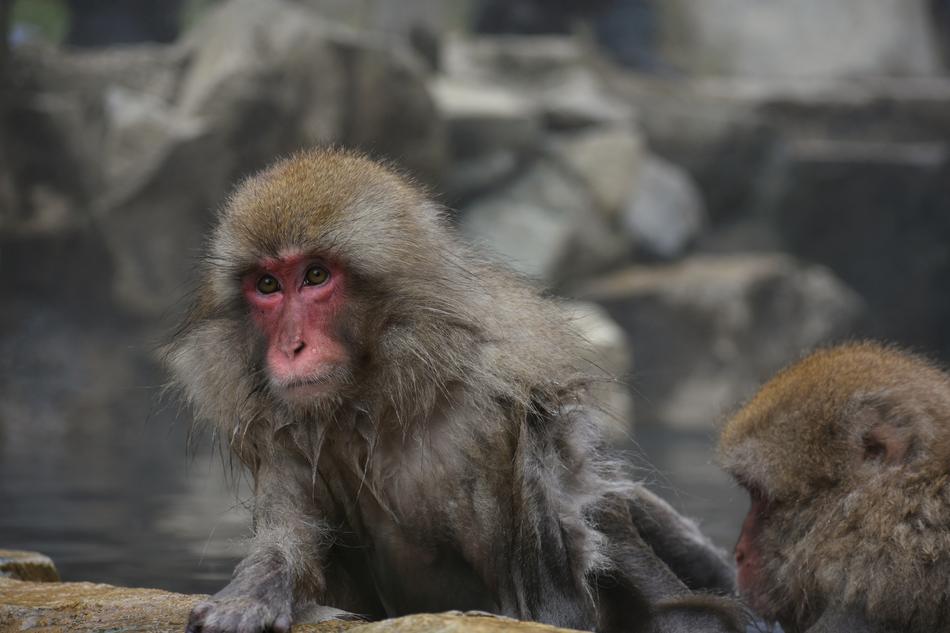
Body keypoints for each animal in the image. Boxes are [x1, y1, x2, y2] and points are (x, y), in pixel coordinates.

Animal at [165, 148, 744, 632]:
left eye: (315, 276)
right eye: (267, 285)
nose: (292, 347)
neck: (381, 398)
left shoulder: (495, 420)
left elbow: (547, 601)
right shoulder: (285, 427)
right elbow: (290, 539)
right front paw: (251, 595)